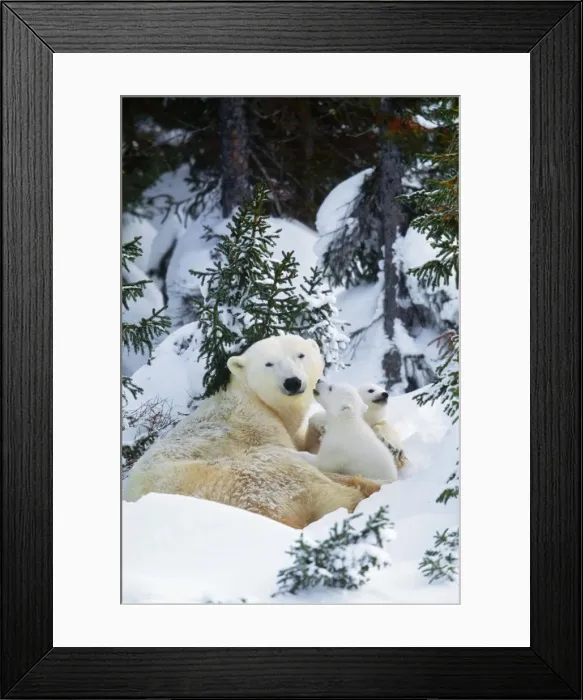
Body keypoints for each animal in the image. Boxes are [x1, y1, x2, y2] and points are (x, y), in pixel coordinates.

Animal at [123, 334, 380, 529]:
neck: (252, 396)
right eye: (269, 364)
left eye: (300, 355)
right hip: (253, 477)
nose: (292, 382)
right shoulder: (258, 425)